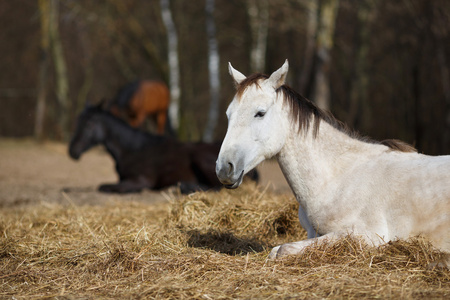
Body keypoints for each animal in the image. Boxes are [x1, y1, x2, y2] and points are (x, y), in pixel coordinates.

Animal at [67, 104, 256, 193]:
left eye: (89, 124)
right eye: (78, 121)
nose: (72, 151)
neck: (133, 150)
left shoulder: (141, 181)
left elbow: (104, 186)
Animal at [216, 59, 448, 262]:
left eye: (260, 113)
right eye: (228, 114)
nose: (224, 169)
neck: (338, 179)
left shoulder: (368, 236)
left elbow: (281, 250)